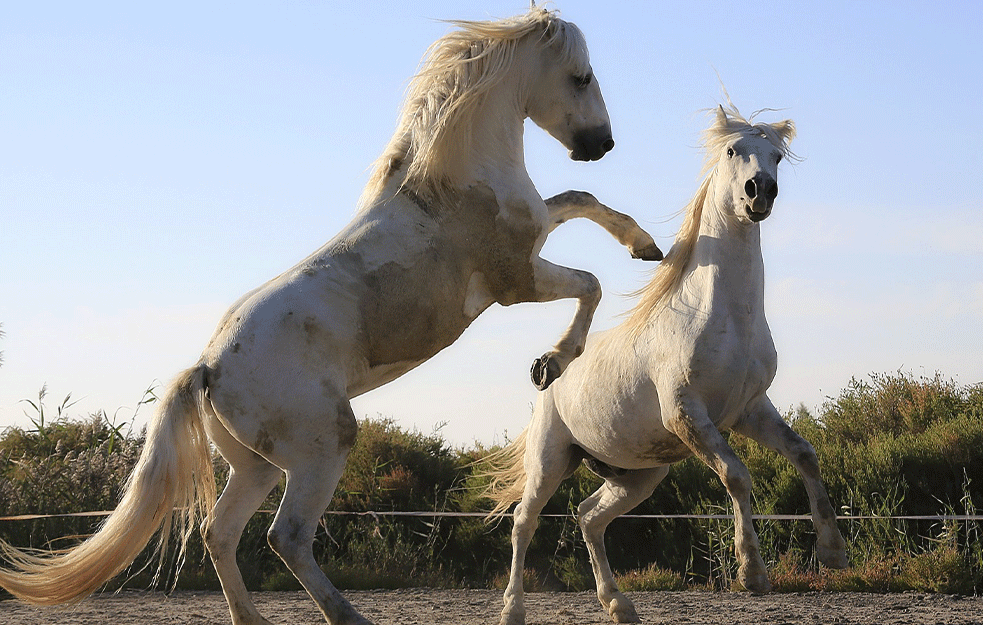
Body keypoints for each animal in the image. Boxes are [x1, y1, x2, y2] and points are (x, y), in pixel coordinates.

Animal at [0, 8, 664, 624]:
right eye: (581, 77)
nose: (599, 144)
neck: (450, 184)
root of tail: (207, 369)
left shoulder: (534, 237)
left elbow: (580, 202)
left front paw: (646, 247)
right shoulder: (516, 281)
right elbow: (589, 282)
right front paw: (552, 362)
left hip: (258, 465)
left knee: (221, 532)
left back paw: (253, 619)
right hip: (323, 446)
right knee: (285, 537)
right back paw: (347, 615)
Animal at [488, 103, 848, 624]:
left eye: (777, 157)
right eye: (732, 150)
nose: (760, 192)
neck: (724, 317)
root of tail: (551, 379)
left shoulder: (749, 410)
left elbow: (805, 454)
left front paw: (833, 551)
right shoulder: (687, 414)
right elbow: (737, 475)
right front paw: (752, 573)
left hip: (639, 475)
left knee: (589, 517)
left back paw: (619, 605)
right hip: (550, 458)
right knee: (524, 521)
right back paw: (513, 609)